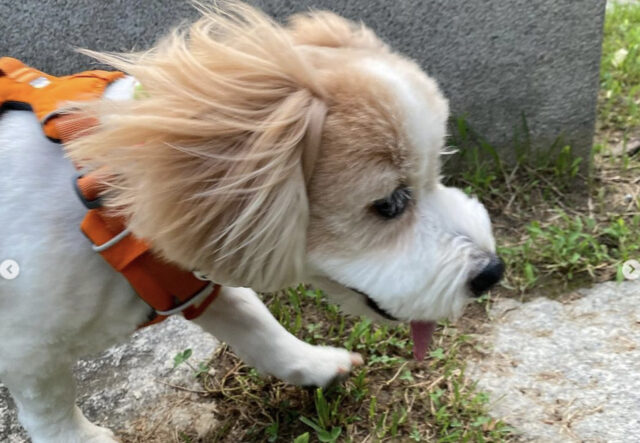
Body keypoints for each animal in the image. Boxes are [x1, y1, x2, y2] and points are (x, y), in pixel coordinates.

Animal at [0, 1, 500, 442]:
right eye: (390, 203)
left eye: (437, 171)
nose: (492, 273)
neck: (106, 200)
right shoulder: (26, 349)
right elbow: (50, 404)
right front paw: (77, 437)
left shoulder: (195, 281)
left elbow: (258, 326)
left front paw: (316, 364)